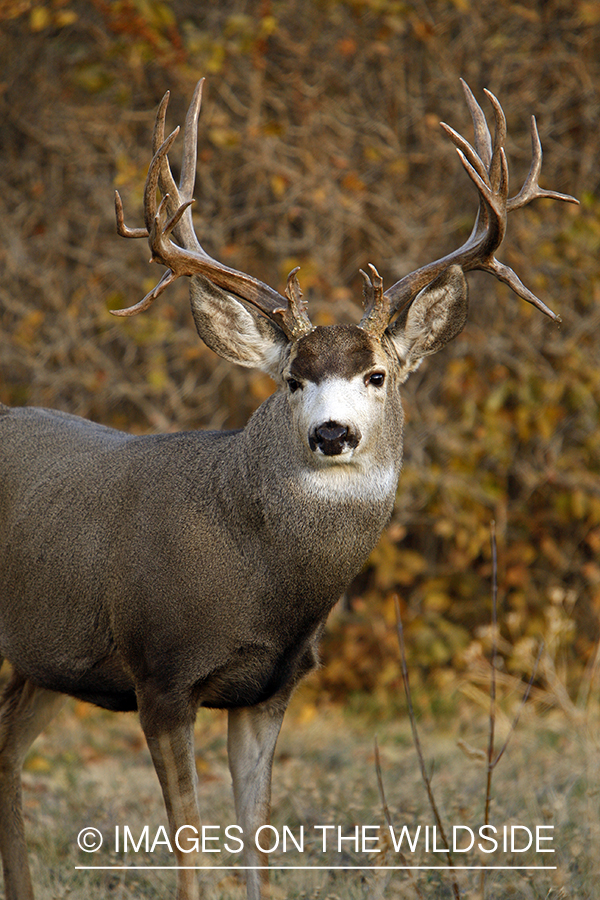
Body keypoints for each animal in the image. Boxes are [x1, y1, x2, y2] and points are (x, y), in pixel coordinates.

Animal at [0, 78, 576, 900]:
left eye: (378, 375)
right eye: (292, 380)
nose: (332, 433)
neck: (262, 580)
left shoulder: (270, 688)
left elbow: (259, 851)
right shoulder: (160, 671)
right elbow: (190, 853)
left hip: (47, 655)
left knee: (6, 744)